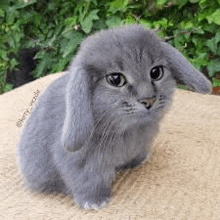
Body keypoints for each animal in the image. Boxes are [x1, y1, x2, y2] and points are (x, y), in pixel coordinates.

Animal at [17, 24, 211, 209]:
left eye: (156, 72)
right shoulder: (81, 164)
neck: (128, 129)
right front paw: (94, 203)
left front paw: (138, 161)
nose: (149, 100)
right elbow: (87, 181)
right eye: (115, 79)